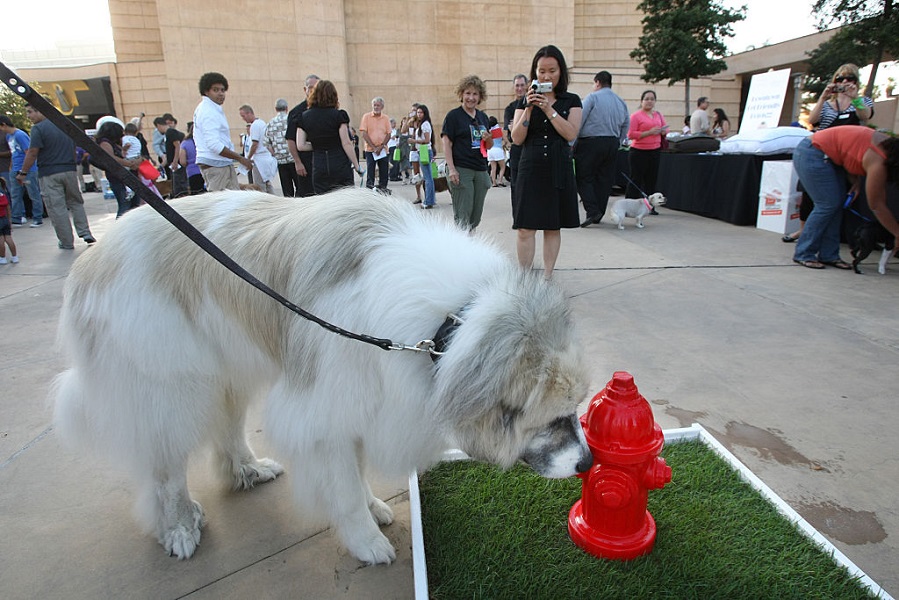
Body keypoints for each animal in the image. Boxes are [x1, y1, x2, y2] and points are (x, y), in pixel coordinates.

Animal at [53, 189, 592, 565]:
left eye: (578, 411)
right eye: (553, 419)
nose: (588, 464)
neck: (449, 324)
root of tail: (92, 258)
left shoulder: (357, 402)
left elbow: (355, 473)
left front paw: (373, 508)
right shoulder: (323, 412)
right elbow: (345, 488)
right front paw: (367, 541)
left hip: (227, 371)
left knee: (227, 428)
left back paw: (247, 471)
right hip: (172, 389)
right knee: (165, 468)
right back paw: (179, 527)